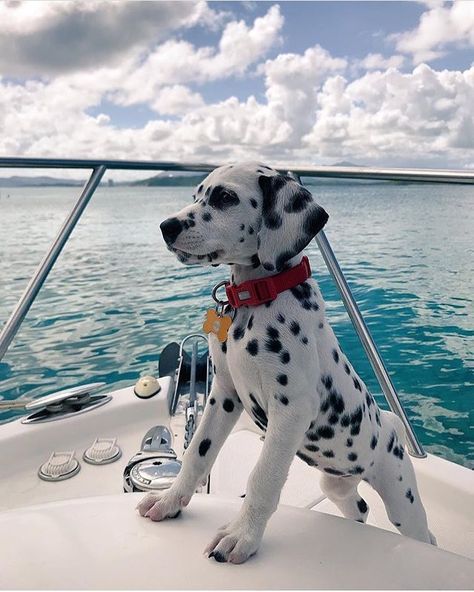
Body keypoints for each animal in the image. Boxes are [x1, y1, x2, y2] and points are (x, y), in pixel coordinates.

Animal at [136, 162, 434, 564]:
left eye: (225, 197)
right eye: (196, 195)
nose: (166, 226)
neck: (257, 297)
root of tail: (390, 426)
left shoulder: (291, 411)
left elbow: (263, 477)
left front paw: (242, 536)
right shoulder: (224, 395)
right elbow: (197, 453)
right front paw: (169, 501)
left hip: (400, 495)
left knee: (423, 532)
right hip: (336, 484)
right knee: (357, 506)